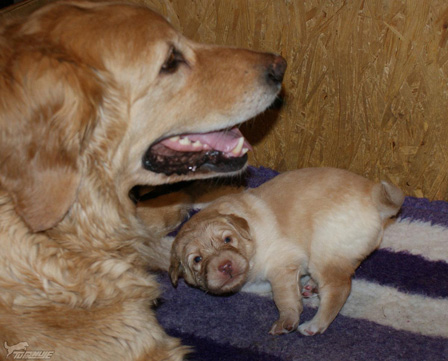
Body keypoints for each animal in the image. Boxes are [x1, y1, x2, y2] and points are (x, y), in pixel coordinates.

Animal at [170, 167, 404, 336]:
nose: (225, 265)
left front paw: (287, 320)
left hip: (325, 248)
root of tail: (374, 196)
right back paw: (312, 286)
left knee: (339, 288)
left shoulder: (282, 263)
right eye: (197, 259)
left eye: (228, 239)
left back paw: (314, 325)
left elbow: (284, 296)